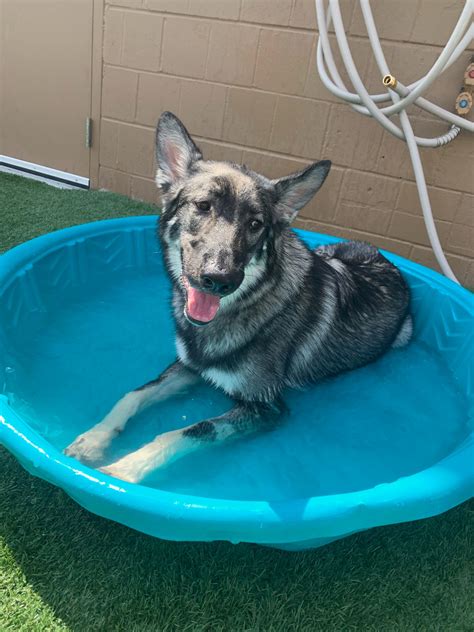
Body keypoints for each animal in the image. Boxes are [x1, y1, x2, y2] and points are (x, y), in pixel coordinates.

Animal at [65, 111, 412, 484]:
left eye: (256, 224)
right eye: (203, 206)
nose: (220, 280)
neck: (241, 308)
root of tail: (382, 256)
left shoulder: (266, 406)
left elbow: (189, 431)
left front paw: (124, 470)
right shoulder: (190, 367)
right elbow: (134, 394)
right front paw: (94, 438)